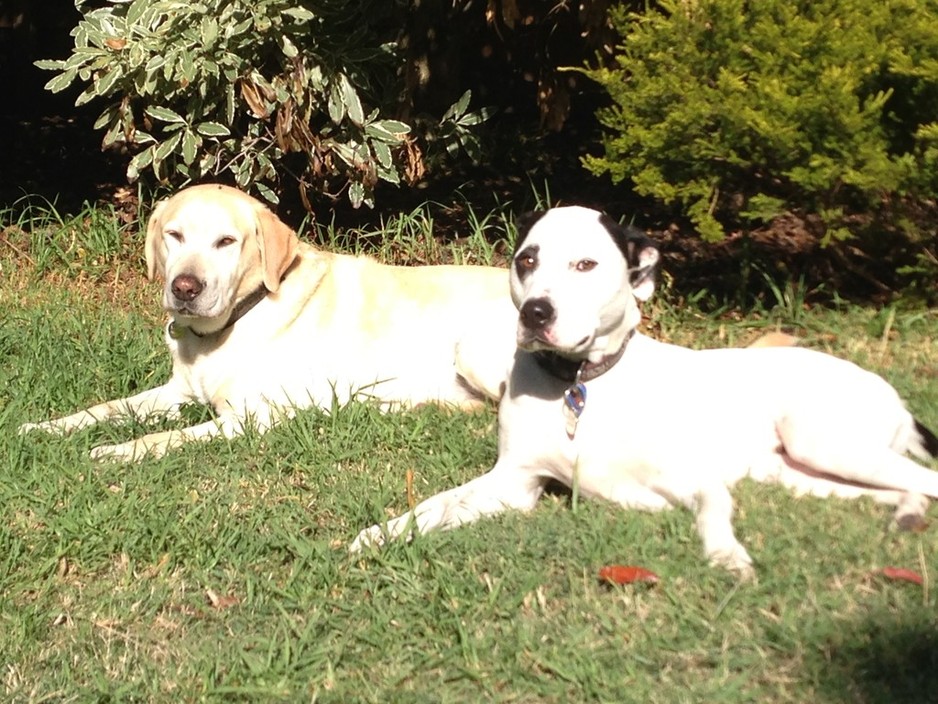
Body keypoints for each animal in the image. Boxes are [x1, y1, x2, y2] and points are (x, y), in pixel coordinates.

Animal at [22, 184, 516, 464]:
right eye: (174, 235)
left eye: (226, 242)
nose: (185, 288)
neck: (234, 322)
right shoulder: (177, 392)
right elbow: (102, 409)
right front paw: (43, 428)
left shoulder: (248, 418)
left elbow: (165, 436)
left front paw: (116, 450)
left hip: (472, 349)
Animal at [352, 204, 936, 576]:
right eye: (526, 260)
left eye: (586, 264)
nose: (536, 312)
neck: (579, 389)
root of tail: (890, 393)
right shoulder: (512, 484)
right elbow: (435, 504)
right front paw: (381, 532)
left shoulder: (696, 481)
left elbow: (714, 513)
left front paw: (728, 557)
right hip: (805, 472)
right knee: (901, 489)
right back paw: (905, 513)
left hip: (822, 441)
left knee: (925, 479)